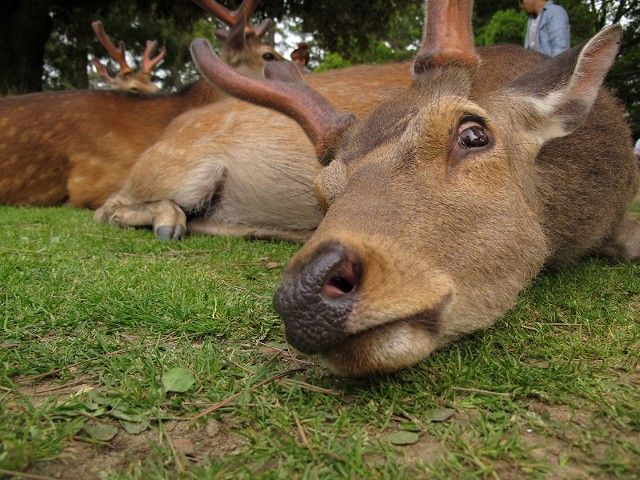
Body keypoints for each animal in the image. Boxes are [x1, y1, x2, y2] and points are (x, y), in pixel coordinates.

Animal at [100, 0, 640, 375]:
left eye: (473, 134)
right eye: (324, 192)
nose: (302, 296)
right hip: (181, 172)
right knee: (109, 207)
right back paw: (169, 221)